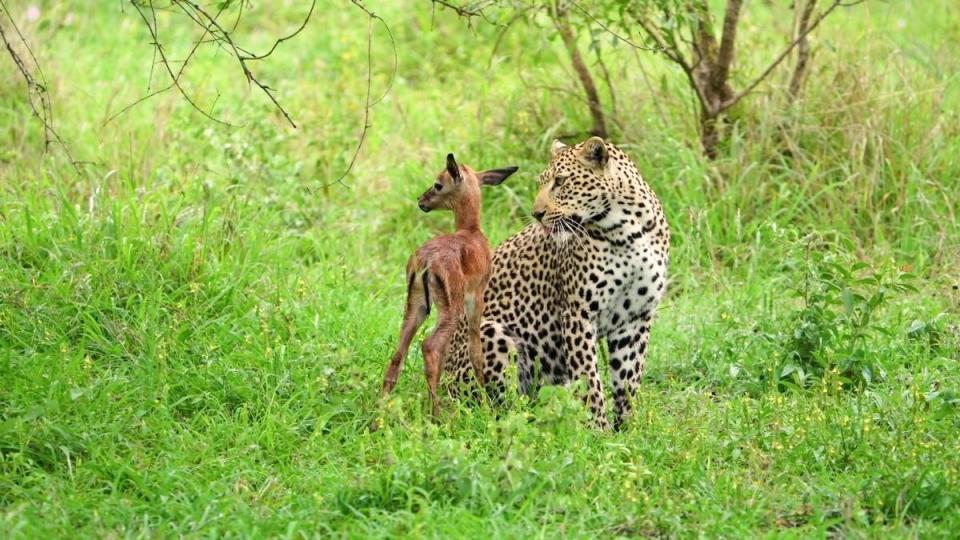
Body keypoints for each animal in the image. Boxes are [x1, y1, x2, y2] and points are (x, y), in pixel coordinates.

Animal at [380, 154, 516, 416]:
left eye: (438, 184)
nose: (421, 200)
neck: (471, 232)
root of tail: (426, 261)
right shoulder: (476, 299)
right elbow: (475, 352)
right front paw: (485, 406)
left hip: (417, 307)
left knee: (399, 352)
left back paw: (380, 409)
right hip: (449, 310)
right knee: (430, 346)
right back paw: (438, 414)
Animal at [442, 136, 668, 430]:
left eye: (560, 181)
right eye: (542, 182)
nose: (536, 213)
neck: (628, 230)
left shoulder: (637, 316)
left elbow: (628, 378)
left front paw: (628, 429)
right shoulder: (578, 314)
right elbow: (589, 377)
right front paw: (599, 430)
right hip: (490, 334)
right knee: (494, 409)